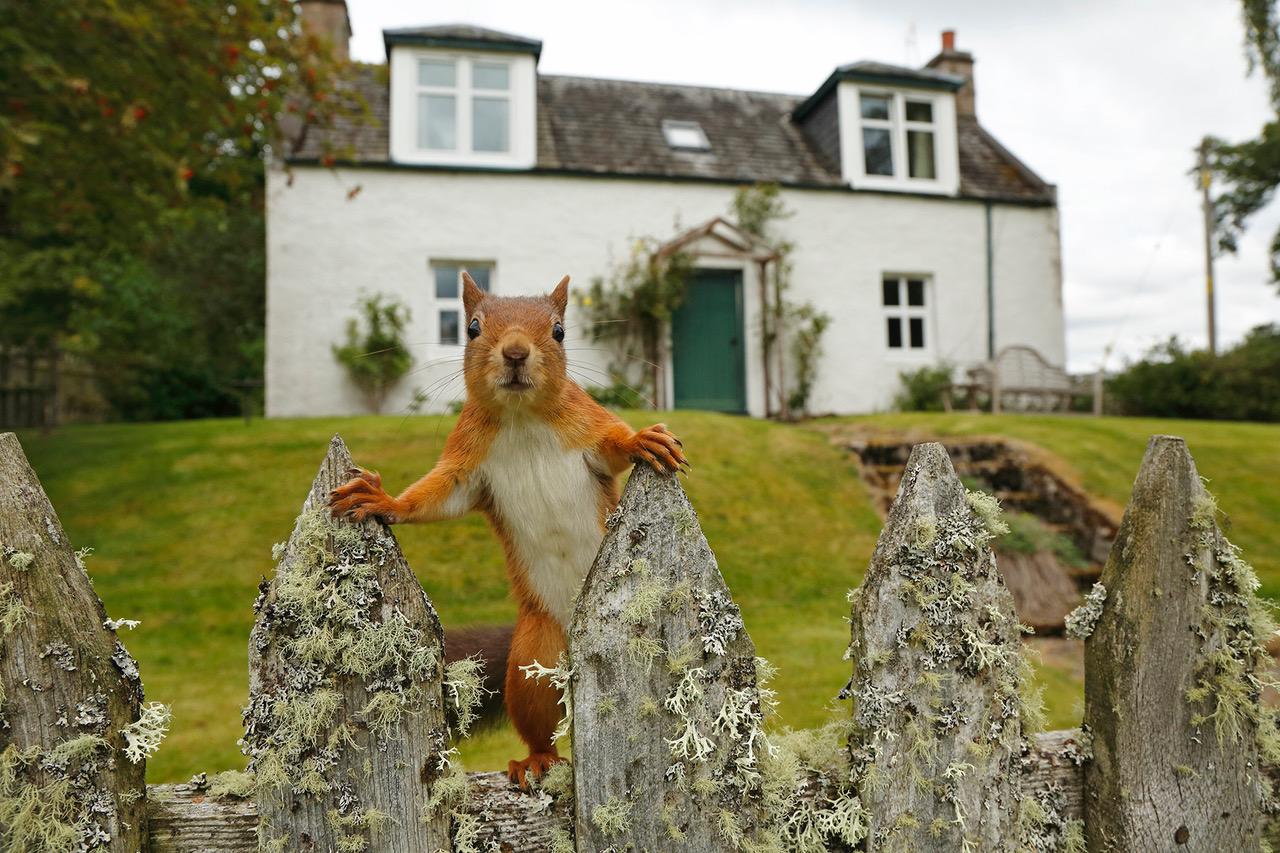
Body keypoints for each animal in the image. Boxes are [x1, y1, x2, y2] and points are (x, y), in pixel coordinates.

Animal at [330, 270, 691, 783]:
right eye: (473, 328)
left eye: (559, 331)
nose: (516, 352)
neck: (521, 417)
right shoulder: (466, 466)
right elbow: (436, 498)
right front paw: (384, 501)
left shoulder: (588, 425)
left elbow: (613, 445)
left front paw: (643, 439)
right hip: (532, 658)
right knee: (540, 720)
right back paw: (538, 760)